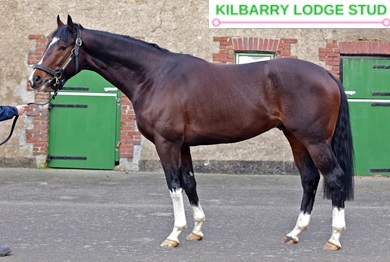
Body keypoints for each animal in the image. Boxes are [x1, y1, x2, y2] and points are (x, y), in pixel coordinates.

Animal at [29, 15, 354, 251]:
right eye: (46, 43)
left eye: (62, 47)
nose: (36, 79)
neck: (154, 77)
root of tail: (326, 74)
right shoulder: (182, 145)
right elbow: (189, 182)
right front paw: (196, 230)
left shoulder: (166, 143)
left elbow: (174, 185)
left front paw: (174, 234)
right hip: (295, 137)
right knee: (309, 179)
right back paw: (295, 232)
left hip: (314, 140)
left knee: (334, 177)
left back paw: (335, 238)